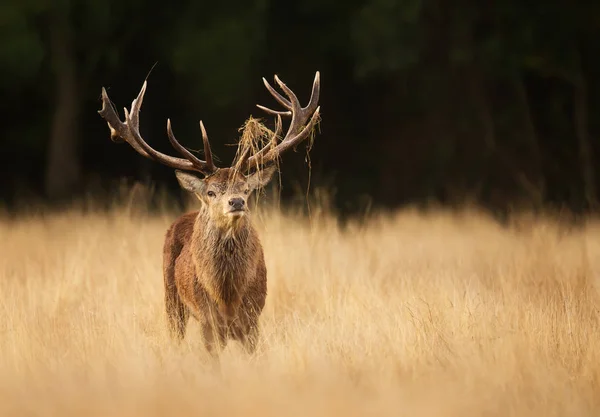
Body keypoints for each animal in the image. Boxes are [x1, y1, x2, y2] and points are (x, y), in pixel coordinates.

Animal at [98, 70, 322, 354]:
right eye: (211, 192)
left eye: (246, 189)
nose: (236, 202)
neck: (227, 296)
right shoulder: (208, 321)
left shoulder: (253, 320)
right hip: (170, 295)